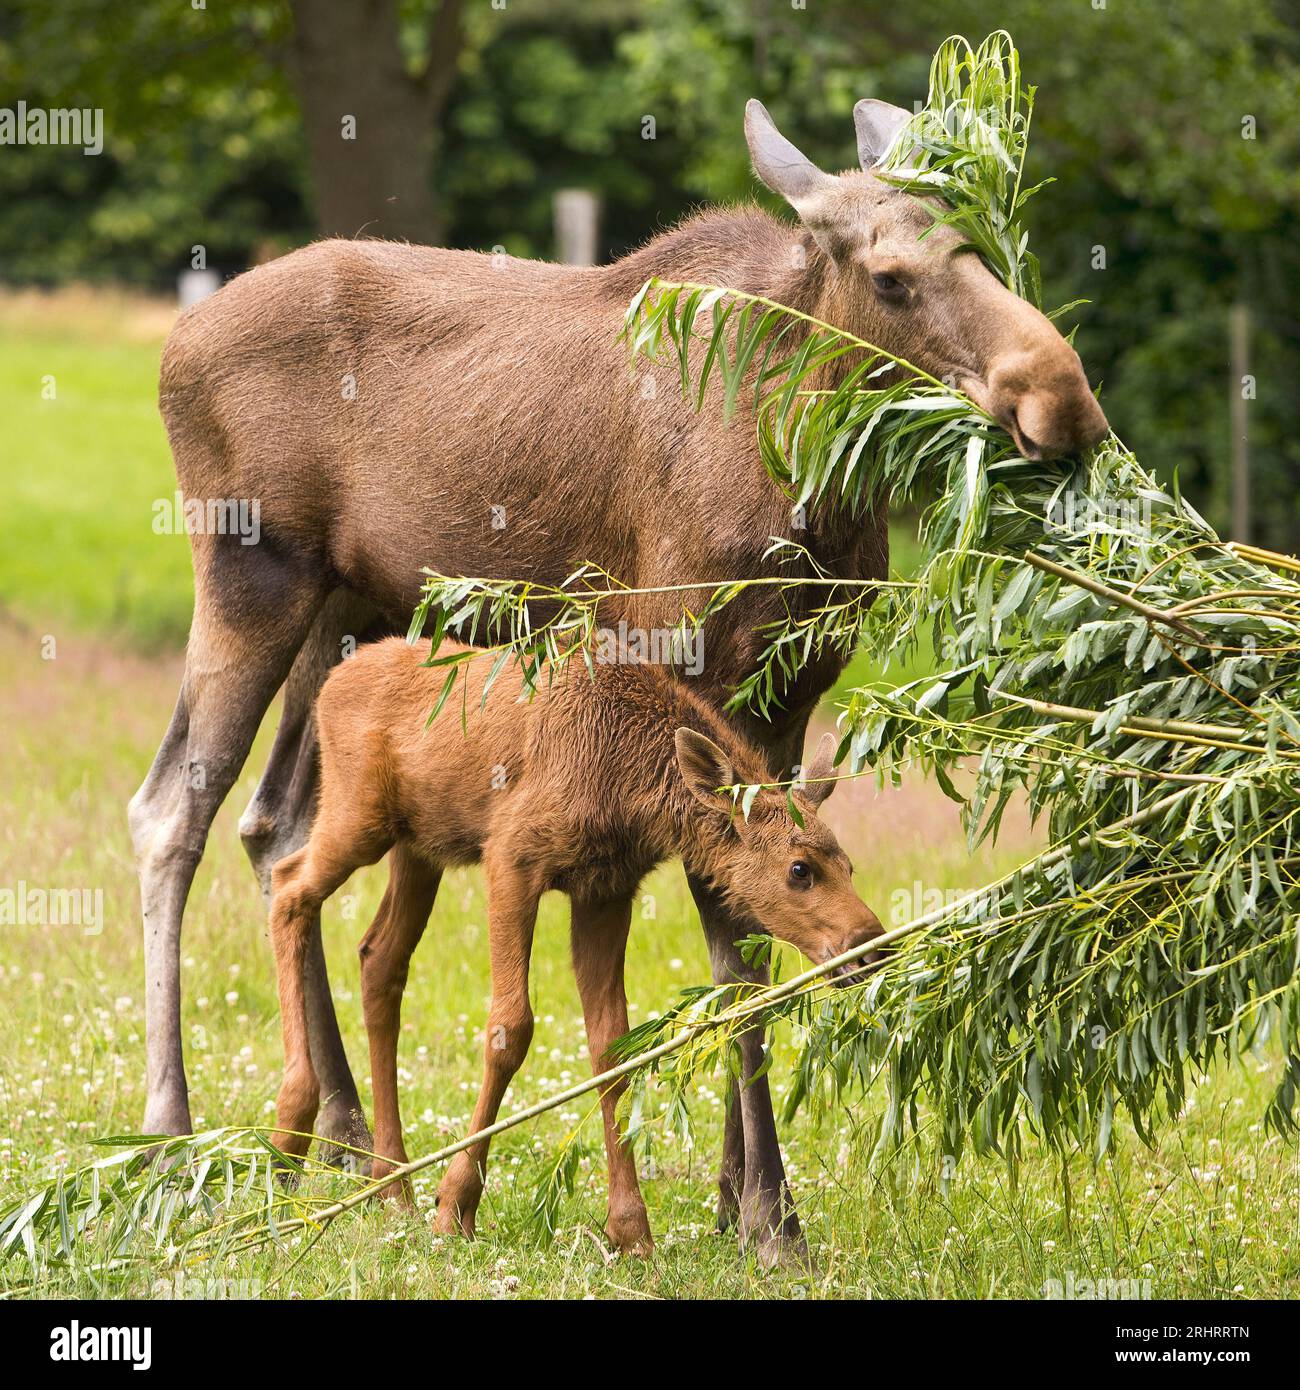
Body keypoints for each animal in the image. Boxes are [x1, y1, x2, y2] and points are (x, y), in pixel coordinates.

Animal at [273, 636, 884, 1256]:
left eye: (850, 866)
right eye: (799, 869)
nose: (870, 943)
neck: (630, 787)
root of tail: (332, 683)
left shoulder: (605, 890)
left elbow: (613, 1047)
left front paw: (630, 1230)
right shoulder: (511, 854)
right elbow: (510, 1028)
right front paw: (456, 1205)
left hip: (418, 847)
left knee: (377, 956)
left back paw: (392, 1185)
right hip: (359, 814)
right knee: (288, 885)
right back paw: (294, 1122)